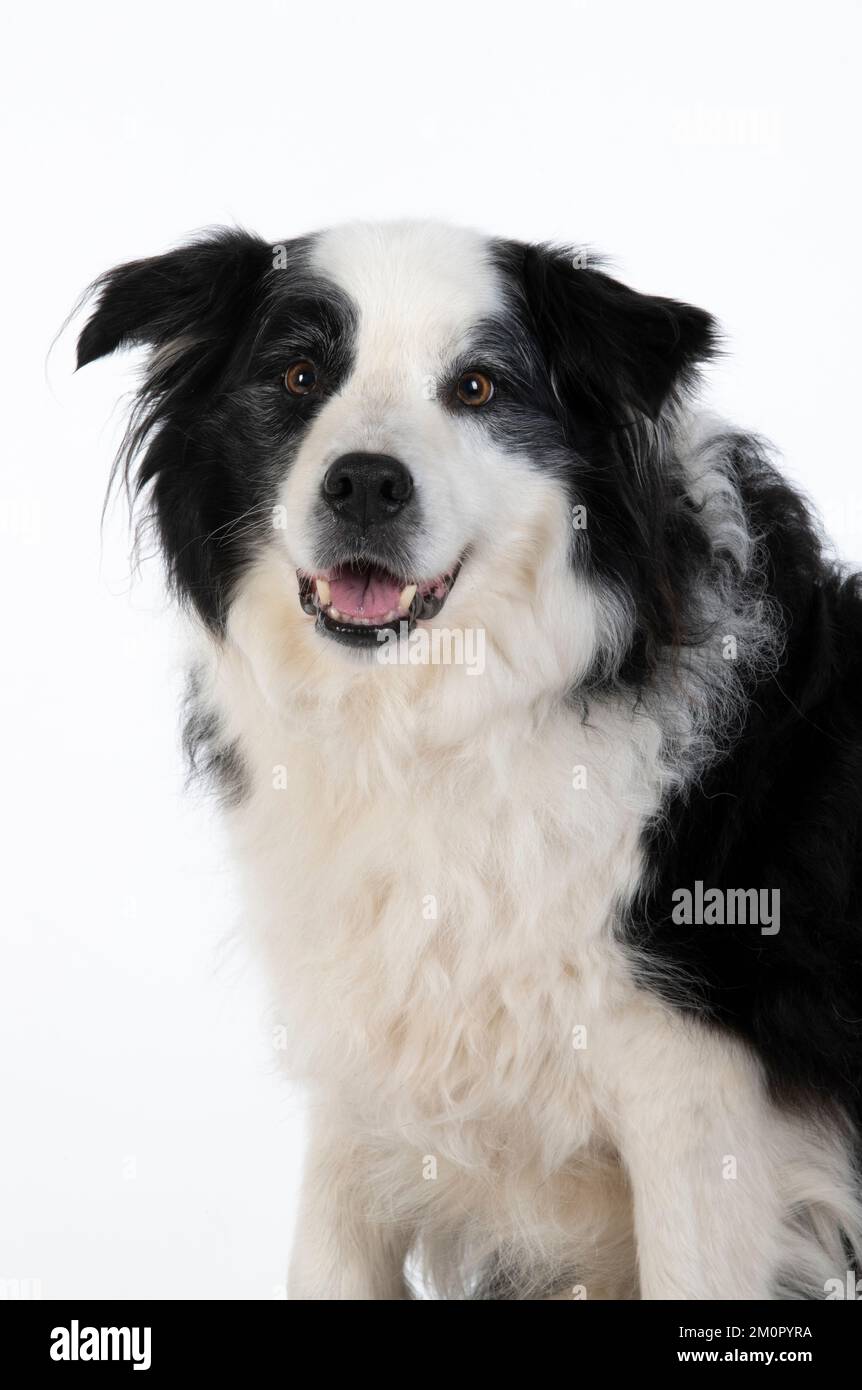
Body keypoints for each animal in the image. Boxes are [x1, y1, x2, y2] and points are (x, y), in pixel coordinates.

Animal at [77, 222, 862, 1295]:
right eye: (298, 374)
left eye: (479, 388)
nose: (365, 483)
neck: (423, 728)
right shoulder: (365, 1069)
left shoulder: (696, 1106)